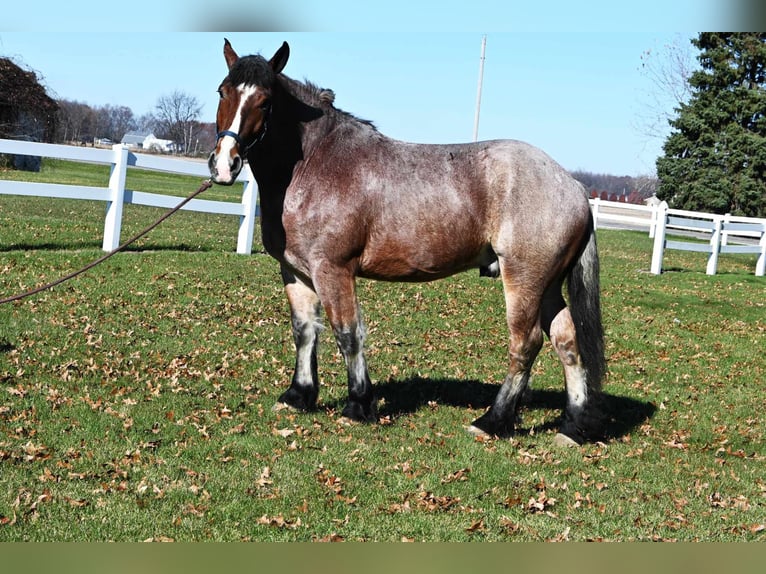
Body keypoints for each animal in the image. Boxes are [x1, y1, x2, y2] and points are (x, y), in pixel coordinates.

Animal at [208, 40, 608, 448]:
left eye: (265, 101)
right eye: (223, 91)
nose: (224, 165)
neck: (316, 164)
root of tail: (573, 185)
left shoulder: (332, 270)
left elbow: (347, 333)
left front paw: (358, 406)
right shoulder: (296, 271)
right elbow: (305, 331)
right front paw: (298, 396)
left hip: (524, 280)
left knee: (525, 344)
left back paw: (492, 421)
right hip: (547, 285)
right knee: (566, 342)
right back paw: (572, 427)